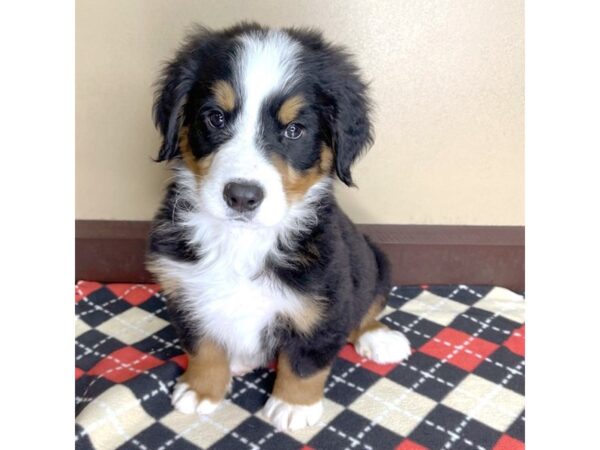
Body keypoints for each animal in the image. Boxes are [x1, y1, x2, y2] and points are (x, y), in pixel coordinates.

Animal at [147, 22, 410, 430]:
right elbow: (201, 343)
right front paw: (202, 387)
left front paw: (293, 404)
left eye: (294, 130)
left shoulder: (326, 298)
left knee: (367, 309)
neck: (242, 242)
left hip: (375, 261)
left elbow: (306, 358)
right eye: (215, 118)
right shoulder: (183, 288)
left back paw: (379, 339)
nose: (242, 196)